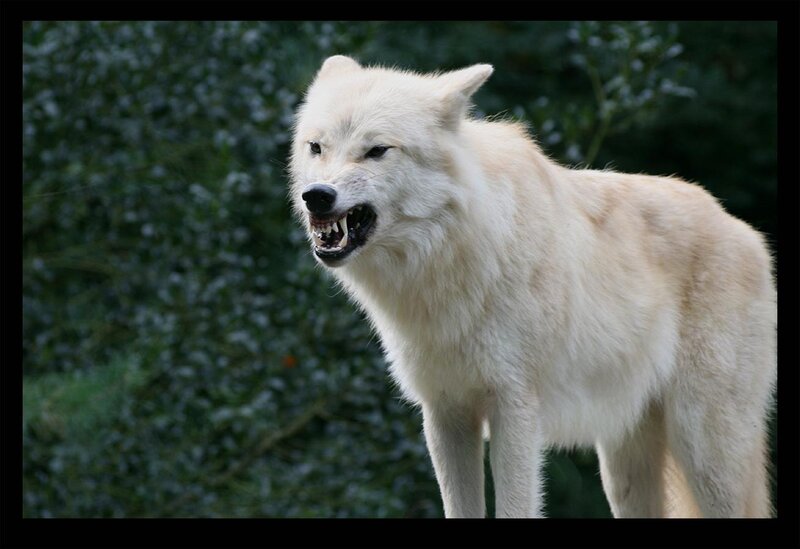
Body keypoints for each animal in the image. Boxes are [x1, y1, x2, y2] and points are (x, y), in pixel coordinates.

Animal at [288, 55, 777, 518]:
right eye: (317, 147)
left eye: (376, 151)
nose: (317, 195)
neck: (453, 259)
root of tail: (747, 233)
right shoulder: (446, 414)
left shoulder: (515, 408)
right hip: (624, 467)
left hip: (705, 448)